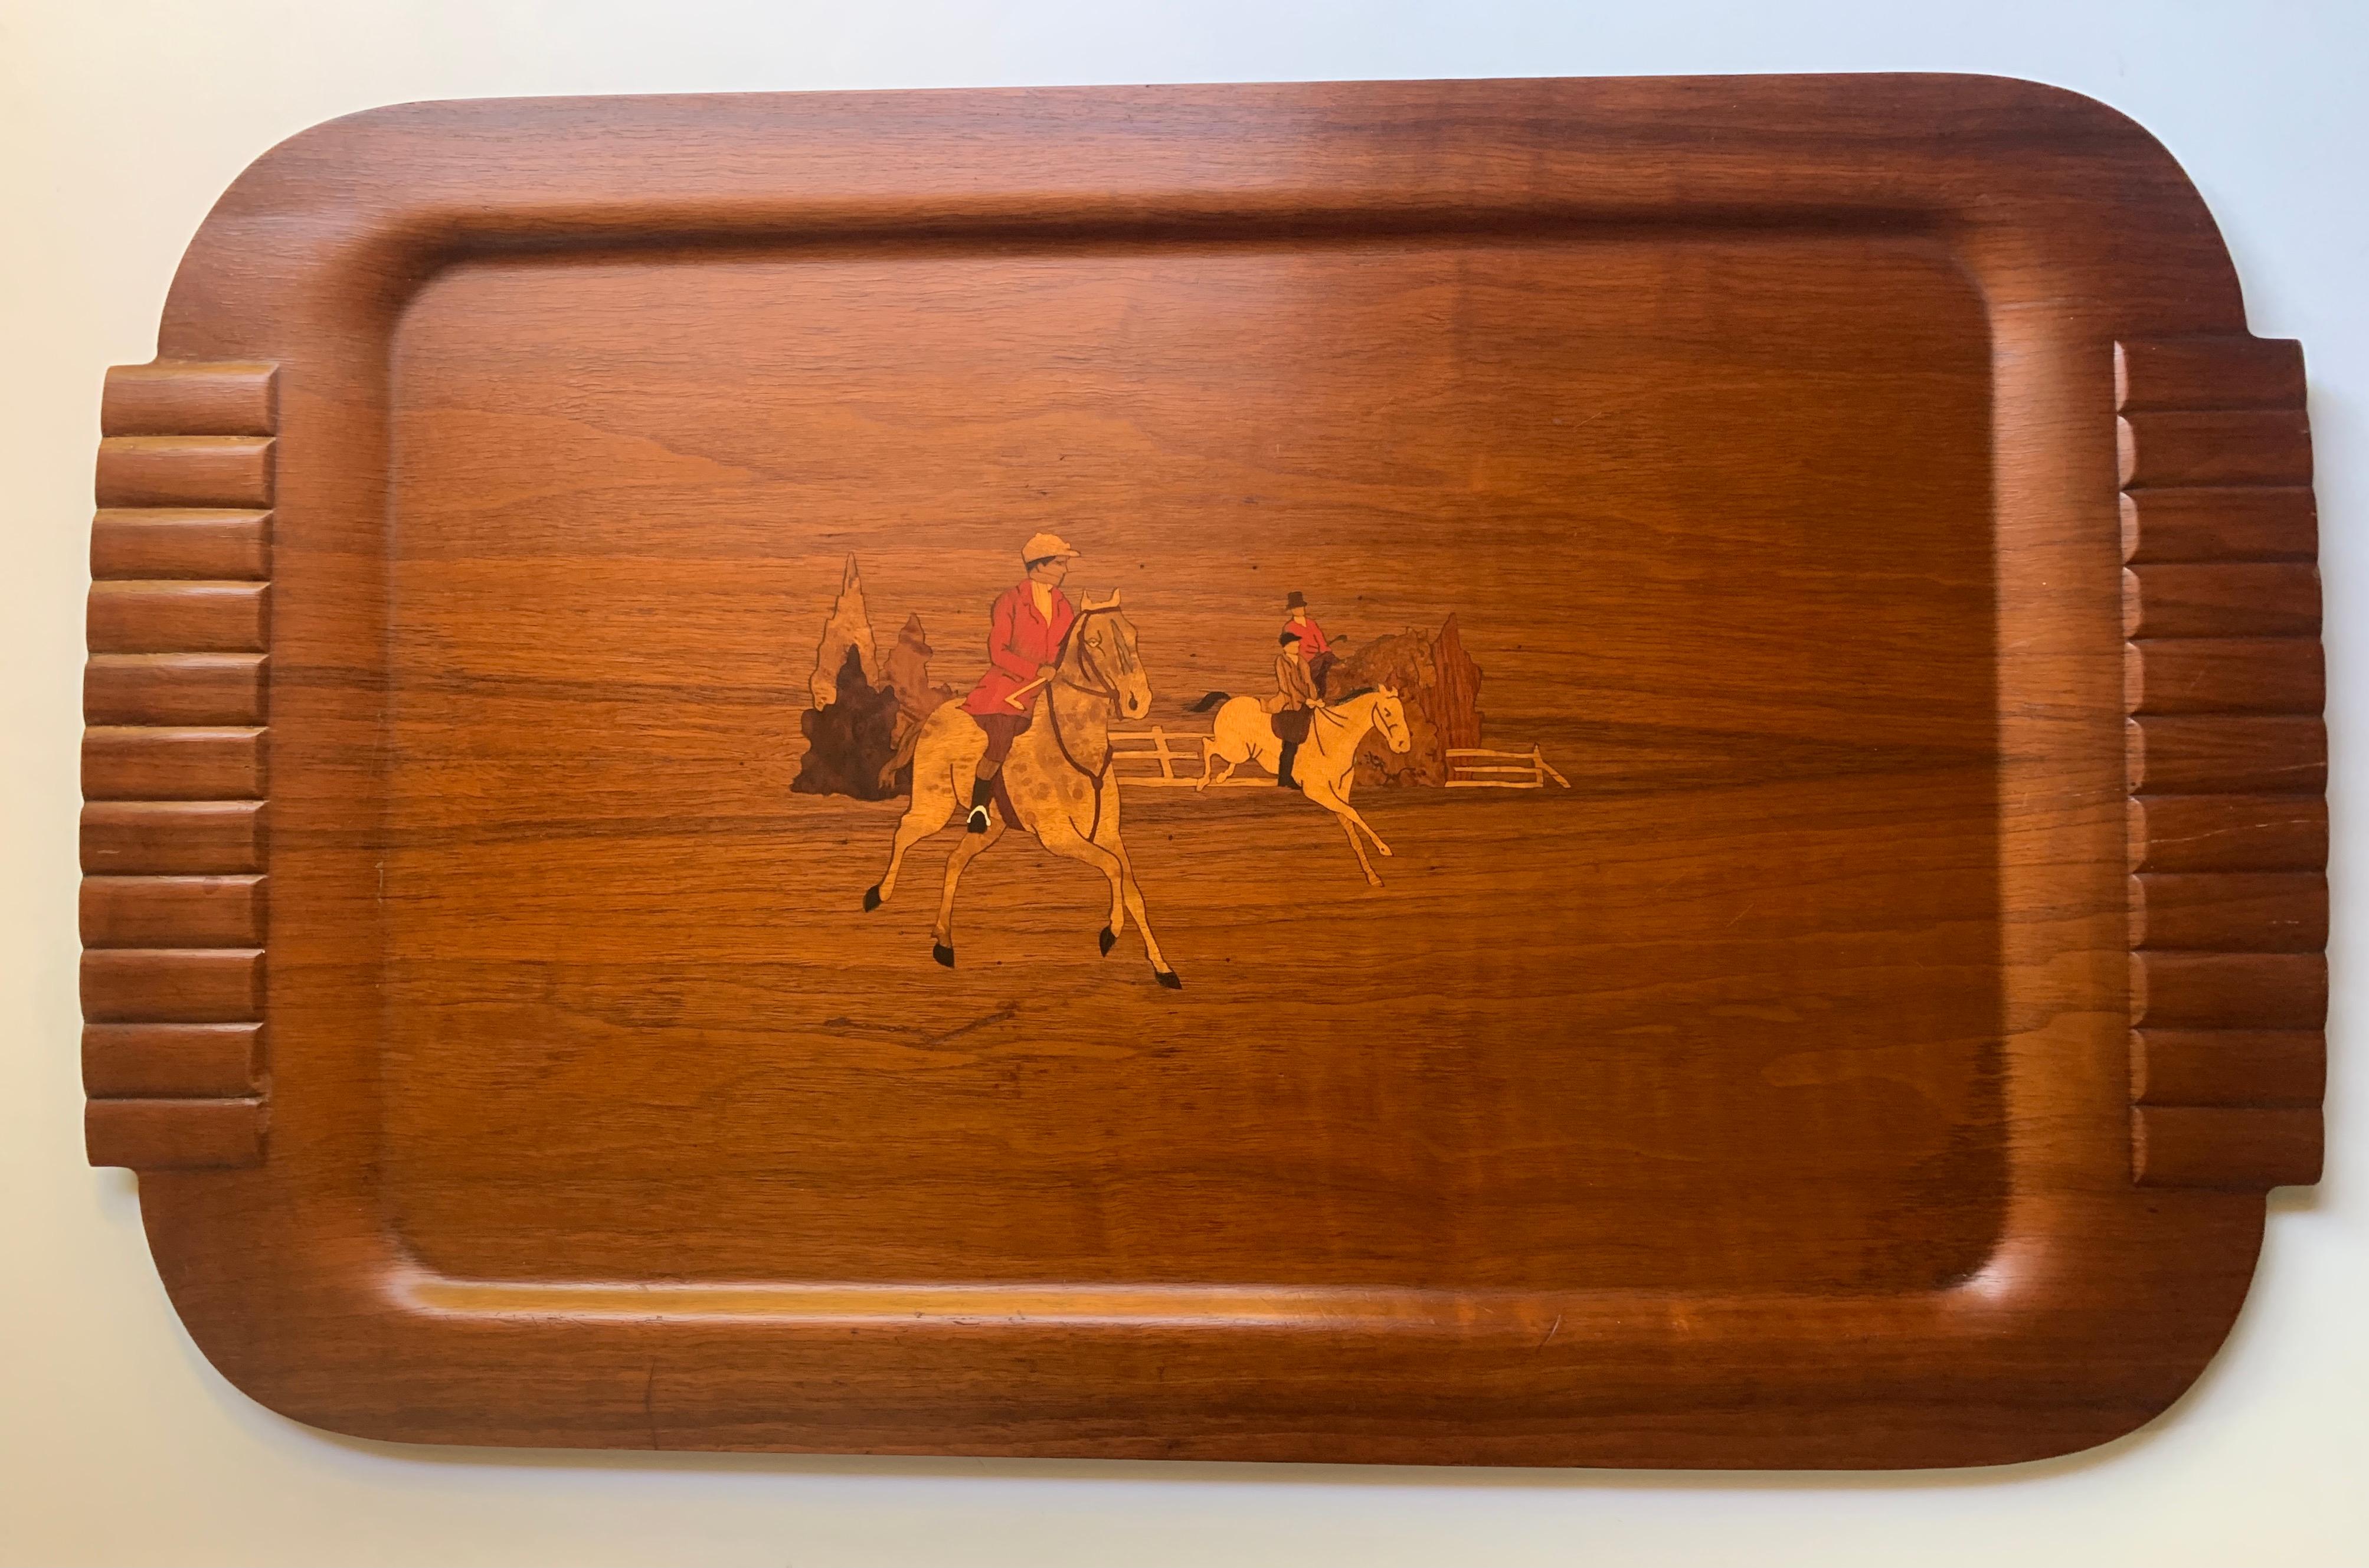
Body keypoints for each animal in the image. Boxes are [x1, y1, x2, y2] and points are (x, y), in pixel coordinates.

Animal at [862, 597, 1174, 990]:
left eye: (1133, 634)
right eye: (1094, 642)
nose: (1138, 701)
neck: (1076, 746)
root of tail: (932, 715)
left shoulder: (1108, 835)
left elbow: (1133, 891)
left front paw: (1163, 967)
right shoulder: (1059, 837)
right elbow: (1113, 869)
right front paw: (1111, 932)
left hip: (990, 828)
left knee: (955, 860)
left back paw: (944, 940)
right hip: (934, 805)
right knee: (905, 831)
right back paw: (878, 895)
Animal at [1184, 696, 1402, 891]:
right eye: (1387, 712)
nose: (1402, 745)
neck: (1334, 737)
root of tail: (1230, 702)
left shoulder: (1337, 794)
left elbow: (1351, 826)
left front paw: (1373, 874)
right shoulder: (1317, 792)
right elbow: (1354, 813)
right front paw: (1383, 849)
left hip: (1243, 751)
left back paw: (1222, 776)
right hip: (1234, 749)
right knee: (1207, 745)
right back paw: (1203, 781)